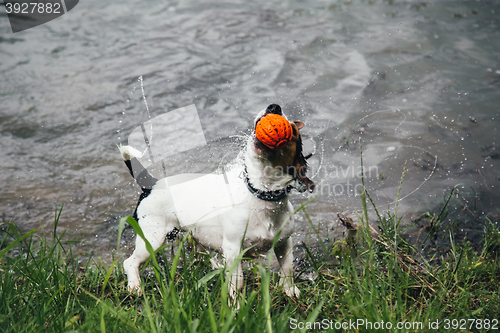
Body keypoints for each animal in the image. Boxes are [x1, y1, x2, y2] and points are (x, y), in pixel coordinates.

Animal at [119, 104, 314, 300]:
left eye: (294, 130)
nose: (274, 107)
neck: (261, 195)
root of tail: (151, 183)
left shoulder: (284, 242)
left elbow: (287, 268)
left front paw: (290, 291)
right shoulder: (233, 248)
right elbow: (238, 281)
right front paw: (235, 304)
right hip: (152, 239)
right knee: (130, 262)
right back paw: (134, 285)